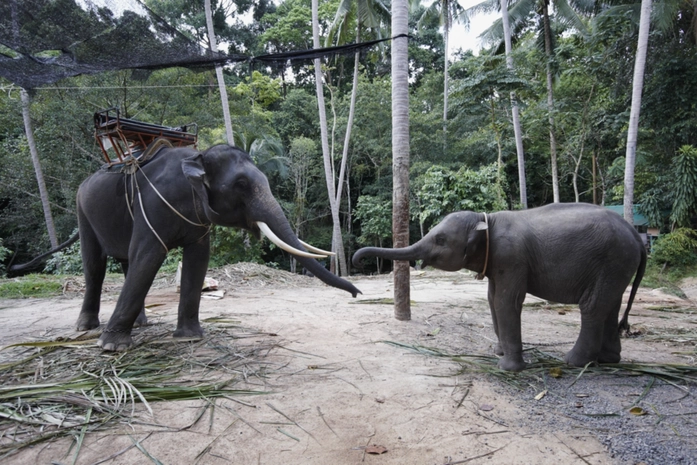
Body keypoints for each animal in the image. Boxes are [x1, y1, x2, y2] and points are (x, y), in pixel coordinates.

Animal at [14, 143, 362, 350]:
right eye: (241, 185)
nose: (358, 294)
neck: (197, 158)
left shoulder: (197, 221)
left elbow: (198, 259)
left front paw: (191, 337)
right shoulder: (154, 206)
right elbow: (150, 256)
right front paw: (112, 347)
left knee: (126, 261)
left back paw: (141, 324)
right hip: (83, 211)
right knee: (95, 265)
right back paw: (87, 327)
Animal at [354, 202, 648, 370]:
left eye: (440, 239)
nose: (357, 260)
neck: (486, 219)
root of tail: (636, 234)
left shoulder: (511, 256)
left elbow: (505, 301)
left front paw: (507, 367)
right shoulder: (498, 261)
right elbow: (491, 298)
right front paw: (498, 352)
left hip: (613, 259)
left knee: (593, 306)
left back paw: (572, 362)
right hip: (616, 265)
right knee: (610, 305)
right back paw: (607, 360)